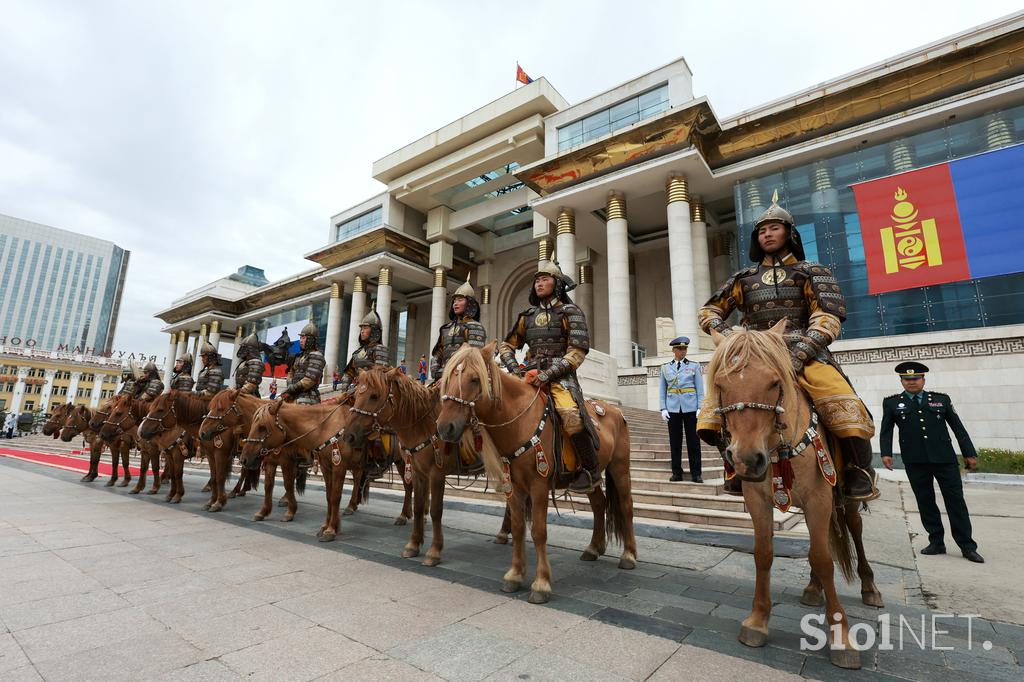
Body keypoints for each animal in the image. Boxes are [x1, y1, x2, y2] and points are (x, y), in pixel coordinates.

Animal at [344, 366, 503, 561]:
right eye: (357, 395)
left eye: (374, 396)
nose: (349, 435)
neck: (423, 424)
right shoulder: (418, 471)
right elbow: (418, 506)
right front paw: (413, 544)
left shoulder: (436, 473)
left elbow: (436, 510)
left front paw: (434, 550)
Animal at [434, 342, 638, 602]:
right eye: (447, 378)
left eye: (474, 379)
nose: (445, 428)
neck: (518, 421)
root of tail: (616, 411)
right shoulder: (513, 486)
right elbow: (519, 527)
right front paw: (514, 575)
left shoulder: (538, 485)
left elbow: (539, 531)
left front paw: (541, 583)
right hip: (592, 476)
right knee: (599, 503)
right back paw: (593, 548)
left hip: (619, 467)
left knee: (625, 505)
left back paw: (629, 555)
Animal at [708, 319, 884, 667]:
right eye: (720, 384)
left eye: (775, 382)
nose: (746, 460)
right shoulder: (757, 499)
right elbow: (764, 554)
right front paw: (757, 621)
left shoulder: (820, 497)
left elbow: (823, 558)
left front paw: (841, 636)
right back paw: (814, 589)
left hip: (843, 497)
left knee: (853, 530)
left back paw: (869, 586)